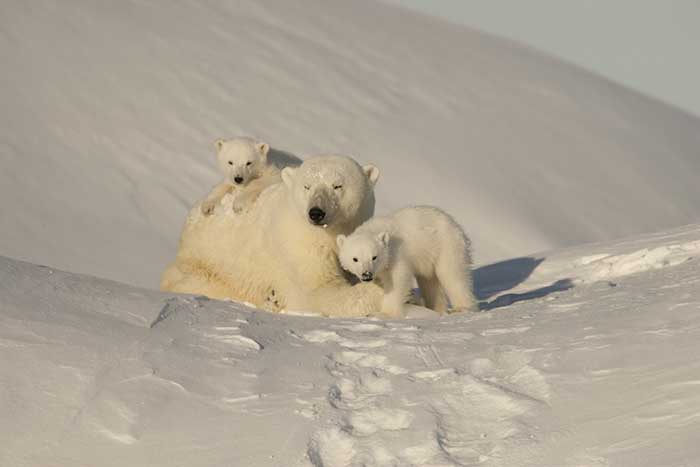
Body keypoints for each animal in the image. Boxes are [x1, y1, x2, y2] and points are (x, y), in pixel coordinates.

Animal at [160, 154, 382, 318]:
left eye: (337, 186)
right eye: (307, 186)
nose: (316, 213)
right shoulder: (299, 246)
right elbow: (320, 292)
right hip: (205, 264)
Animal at [336, 207, 478, 320]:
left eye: (374, 257)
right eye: (355, 259)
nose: (367, 275)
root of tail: (454, 224)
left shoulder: (397, 256)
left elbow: (396, 281)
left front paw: (383, 314)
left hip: (446, 245)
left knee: (453, 274)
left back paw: (461, 308)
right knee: (430, 283)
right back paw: (435, 308)